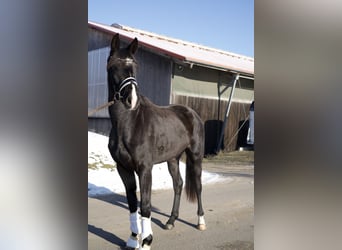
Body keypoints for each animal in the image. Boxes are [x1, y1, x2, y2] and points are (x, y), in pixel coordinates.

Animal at [107, 34, 204, 249]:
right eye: (113, 66)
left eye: (135, 66)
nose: (131, 100)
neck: (129, 123)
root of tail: (192, 113)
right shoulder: (123, 168)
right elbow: (132, 204)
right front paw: (133, 239)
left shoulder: (145, 168)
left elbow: (145, 205)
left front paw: (146, 241)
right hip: (173, 159)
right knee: (178, 184)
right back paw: (170, 221)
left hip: (195, 156)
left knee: (198, 186)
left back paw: (201, 222)